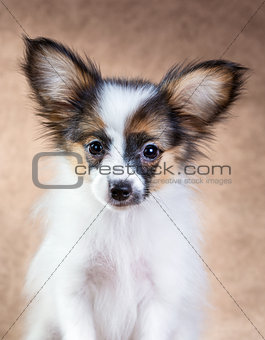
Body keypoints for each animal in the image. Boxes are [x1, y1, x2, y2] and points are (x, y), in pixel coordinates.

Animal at [22, 37, 245, 340]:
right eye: (95, 147)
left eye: (150, 151)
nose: (120, 189)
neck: (122, 224)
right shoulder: (73, 288)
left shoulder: (160, 295)